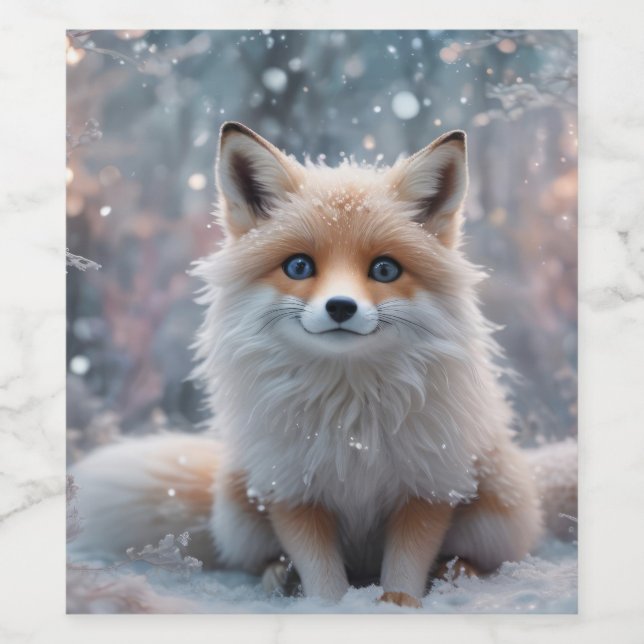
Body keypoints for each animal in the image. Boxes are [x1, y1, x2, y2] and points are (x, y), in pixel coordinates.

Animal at [71, 122, 576, 608]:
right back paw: (279, 576)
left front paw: (399, 604)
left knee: (482, 558)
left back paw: (456, 573)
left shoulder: (428, 484)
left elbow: (407, 566)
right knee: (258, 560)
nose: (340, 307)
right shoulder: (291, 488)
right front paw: (327, 607)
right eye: (298, 267)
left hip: (495, 509)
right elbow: (322, 575)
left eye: (385, 270)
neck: (350, 414)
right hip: (239, 508)